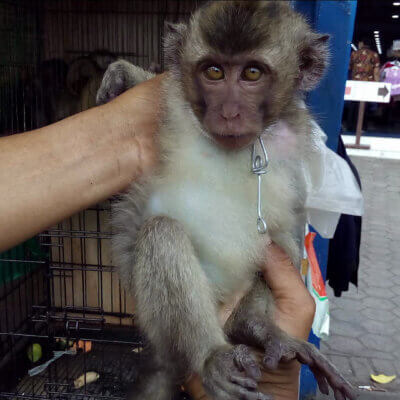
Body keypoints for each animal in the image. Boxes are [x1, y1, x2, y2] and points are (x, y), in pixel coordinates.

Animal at [97, 0, 356, 400]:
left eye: (252, 73)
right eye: (214, 72)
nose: (230, 112)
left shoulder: (296, 136)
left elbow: (292, 226)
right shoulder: (175, 104)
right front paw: (124, 73)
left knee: (275, 241)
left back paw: (254, 327)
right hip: (158, 322)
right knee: (162, 232)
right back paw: (211, 354)